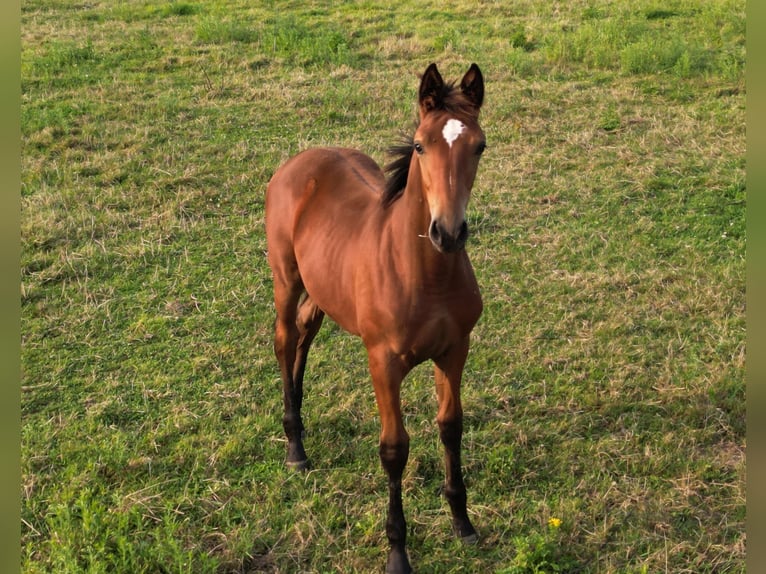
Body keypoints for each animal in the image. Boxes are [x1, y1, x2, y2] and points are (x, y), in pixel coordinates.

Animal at [268, 63, 488, 574]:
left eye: (480, 146)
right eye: (421, 145)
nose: (448, 232)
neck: (425, 275)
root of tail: (300, 161)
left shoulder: (455, 351)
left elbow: (451, 426)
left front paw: (462, 523)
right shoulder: (383, 363)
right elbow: (394, 449)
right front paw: (397, 553)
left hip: (323, 288)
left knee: (306, 332)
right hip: (286, 279)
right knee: (285, 338)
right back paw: (295, 446)